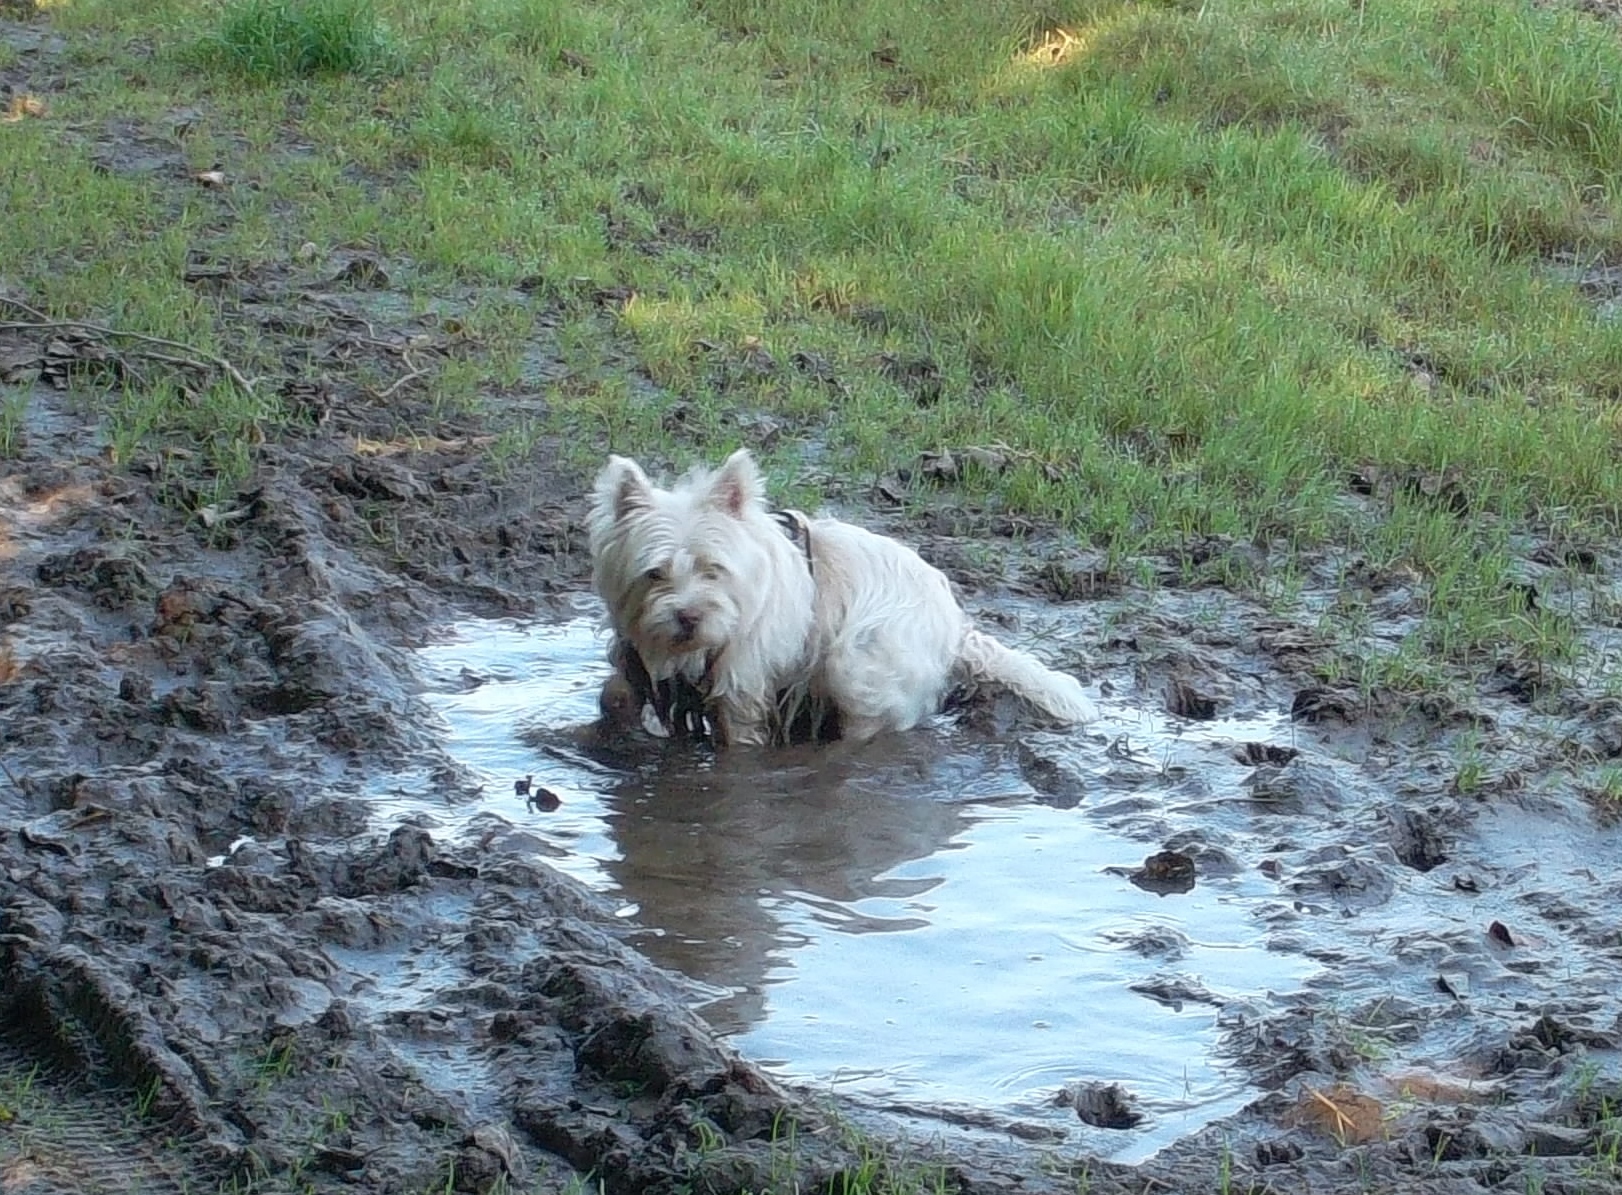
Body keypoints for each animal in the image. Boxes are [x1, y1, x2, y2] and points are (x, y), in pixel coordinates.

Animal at [587, 450, 1102, 745]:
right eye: (655, 573)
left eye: (714, 570)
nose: (688, 617)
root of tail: (958, 627)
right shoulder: (640, 665)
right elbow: (616, 694)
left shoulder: (742, 686)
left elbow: (740, 737)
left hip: (859, 661)